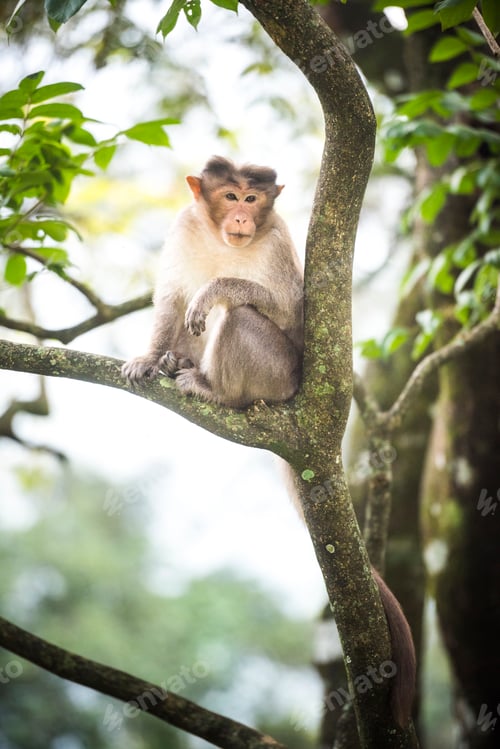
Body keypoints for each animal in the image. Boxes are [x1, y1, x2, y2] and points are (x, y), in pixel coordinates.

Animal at [121, 155, 304, 408]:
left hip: (277, 375)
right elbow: (172, 297)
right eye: (231, 196)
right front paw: (150, 358)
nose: (241, 218)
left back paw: (216, 391)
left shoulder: (278, 242)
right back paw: (176, 363)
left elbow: (291, 311)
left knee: (239, 317)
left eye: (251, 199)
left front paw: (211, 291)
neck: (221, 240)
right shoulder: (183, 225)